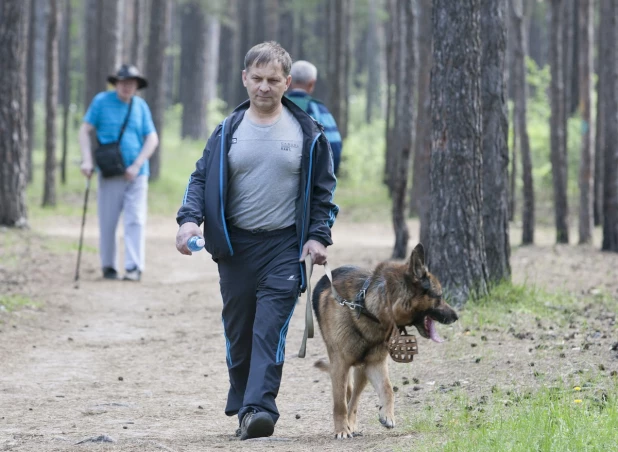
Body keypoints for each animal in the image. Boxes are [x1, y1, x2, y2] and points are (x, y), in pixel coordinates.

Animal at [310, 244, 454, 438]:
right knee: (347, 394)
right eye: (439, 296)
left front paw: (387, 415)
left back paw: (352, 424)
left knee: (354, 398)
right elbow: (339, 403)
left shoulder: (374, 364)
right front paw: (341, 429)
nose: (456, 316)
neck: (367, 308)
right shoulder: (339, 364)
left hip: (362, 370)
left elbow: (387, 388)